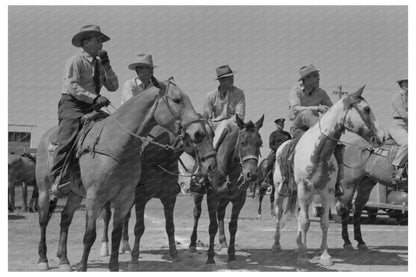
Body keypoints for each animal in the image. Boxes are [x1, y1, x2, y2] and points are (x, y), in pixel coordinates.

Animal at [100, 121, 218, 270]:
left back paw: (126, 246)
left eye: (212, 134)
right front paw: (134, 260)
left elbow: (170, 226)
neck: (158, 157)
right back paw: (105, 247)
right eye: (197, 135)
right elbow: (139, 228)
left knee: (125, 217)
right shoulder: (141, 198)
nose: (211, 165)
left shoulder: (169, 198)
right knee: (107, 216)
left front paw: (174, 254)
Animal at [189, 114, 264, 264]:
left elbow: (233, 226)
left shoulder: (239, 199)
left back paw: (223, 241)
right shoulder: (212, 196)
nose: (251, 174)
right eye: (242, 142)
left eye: (259, 143)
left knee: (221, 214)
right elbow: (212, 226)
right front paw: (210, 257)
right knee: (197, 213)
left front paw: (232, 254)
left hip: (225, 198)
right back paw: (193, 243)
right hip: (199, 193)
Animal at [272, 85, 386, 266]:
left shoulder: (327, 193)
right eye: (367, 109)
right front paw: (303, 257)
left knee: (298, 215)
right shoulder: (304, 191)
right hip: (280, 191)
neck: (318, 152)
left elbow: (324, 223)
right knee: (279, 213)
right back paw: (276, 245)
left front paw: (325, 256)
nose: (382, 137)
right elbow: (306, 222)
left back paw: (299, 243)